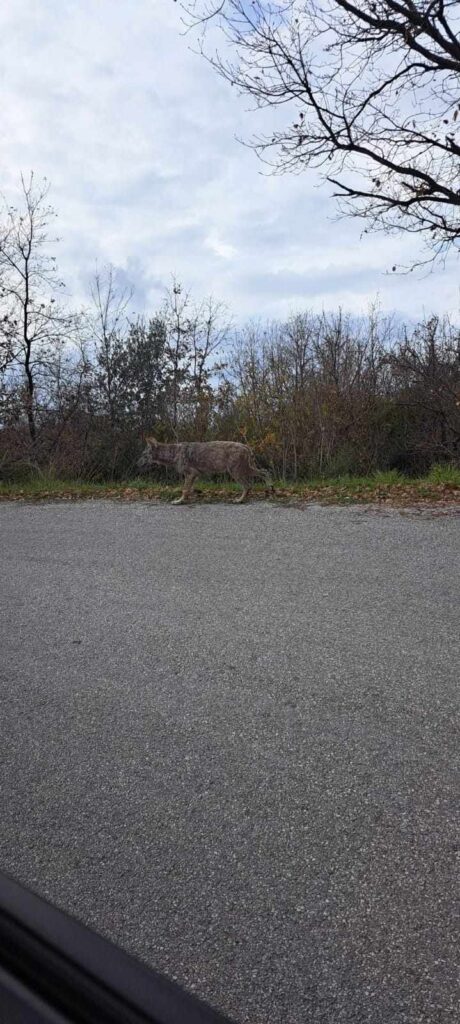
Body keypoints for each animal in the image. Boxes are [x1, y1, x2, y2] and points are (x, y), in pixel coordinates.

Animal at [137, 437, 274, 504]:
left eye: (144, 455)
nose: (137, 464)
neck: (173, 453)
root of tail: (246, 446)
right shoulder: (194, 476)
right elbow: (189, 490)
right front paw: (191, 497)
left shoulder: (191, 474)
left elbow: (184, 490)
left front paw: (179, 501)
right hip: (244, 470)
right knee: (264, 472)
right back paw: (270, 488)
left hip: (236, 472)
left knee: (248, 485)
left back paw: (239, 500)